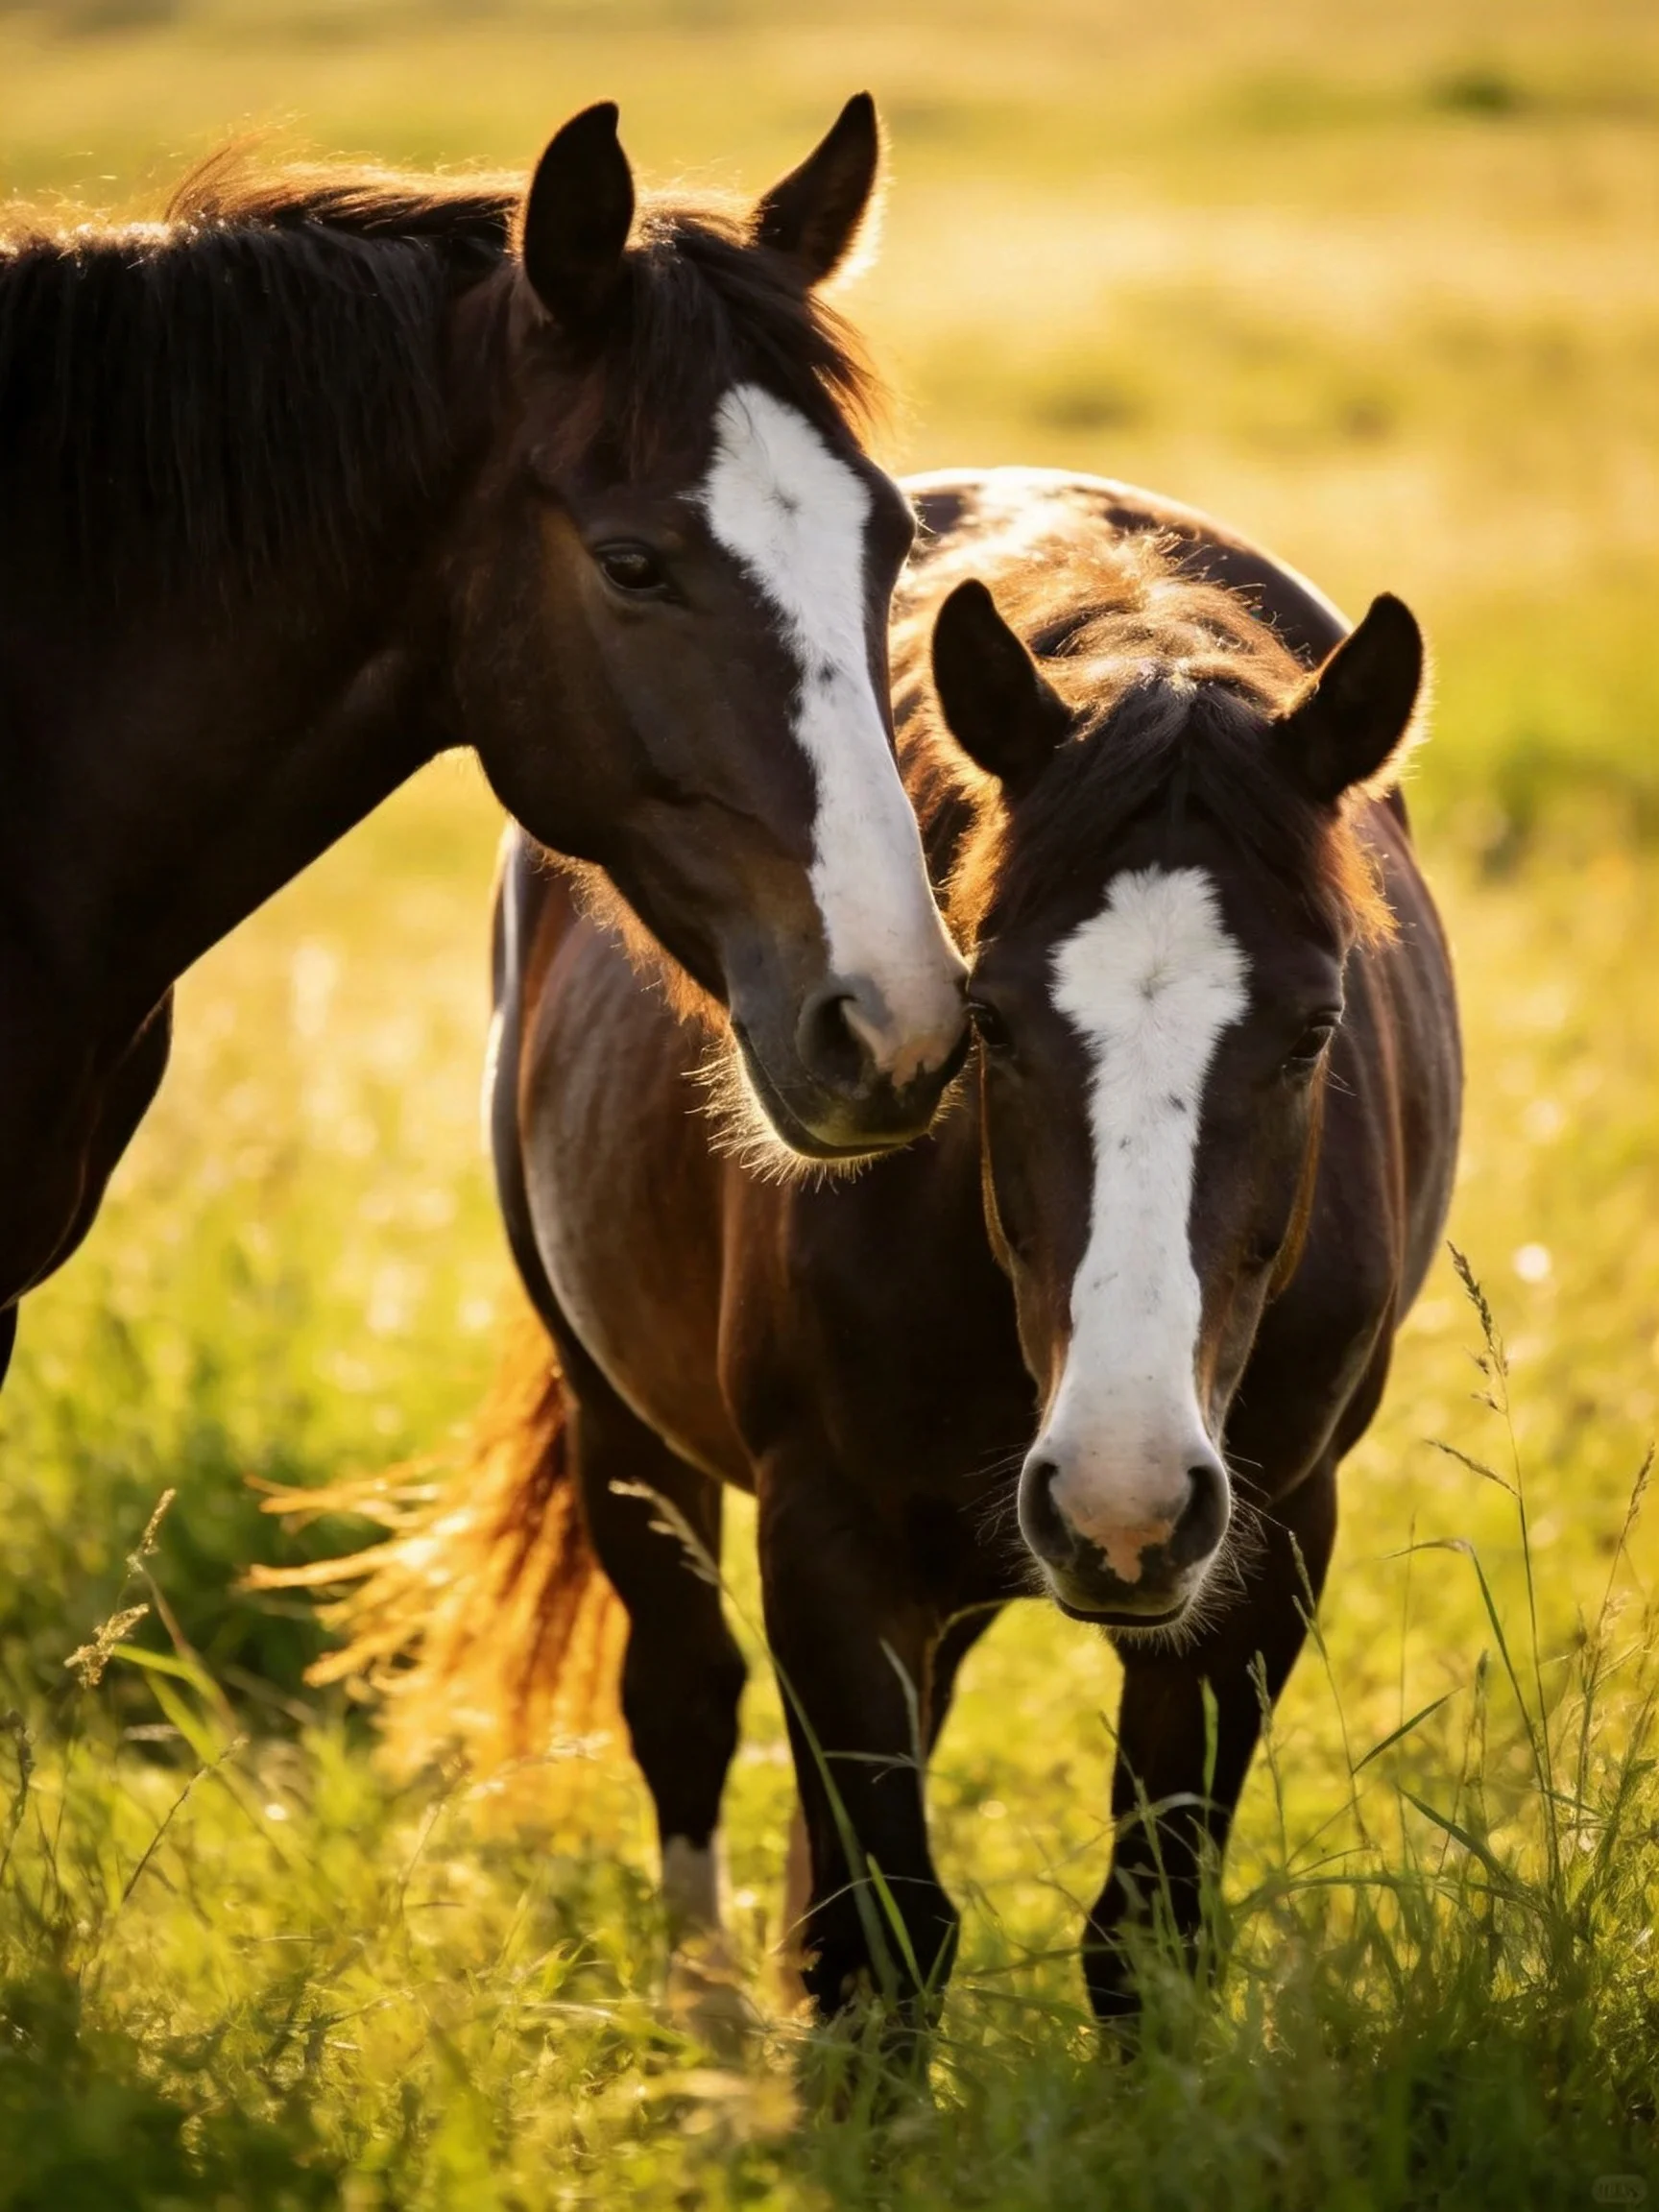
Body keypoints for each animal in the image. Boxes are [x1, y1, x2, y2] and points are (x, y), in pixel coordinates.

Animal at [313, 469, 1461, 2029]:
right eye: (991, 1023)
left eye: (1314, 1030)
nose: (1121, 1491)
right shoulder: (829, 1539)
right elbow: (878, 1939)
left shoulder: (1264, 1548)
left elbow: (1144, 1930)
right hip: (621, 1418)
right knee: (683, 1700)